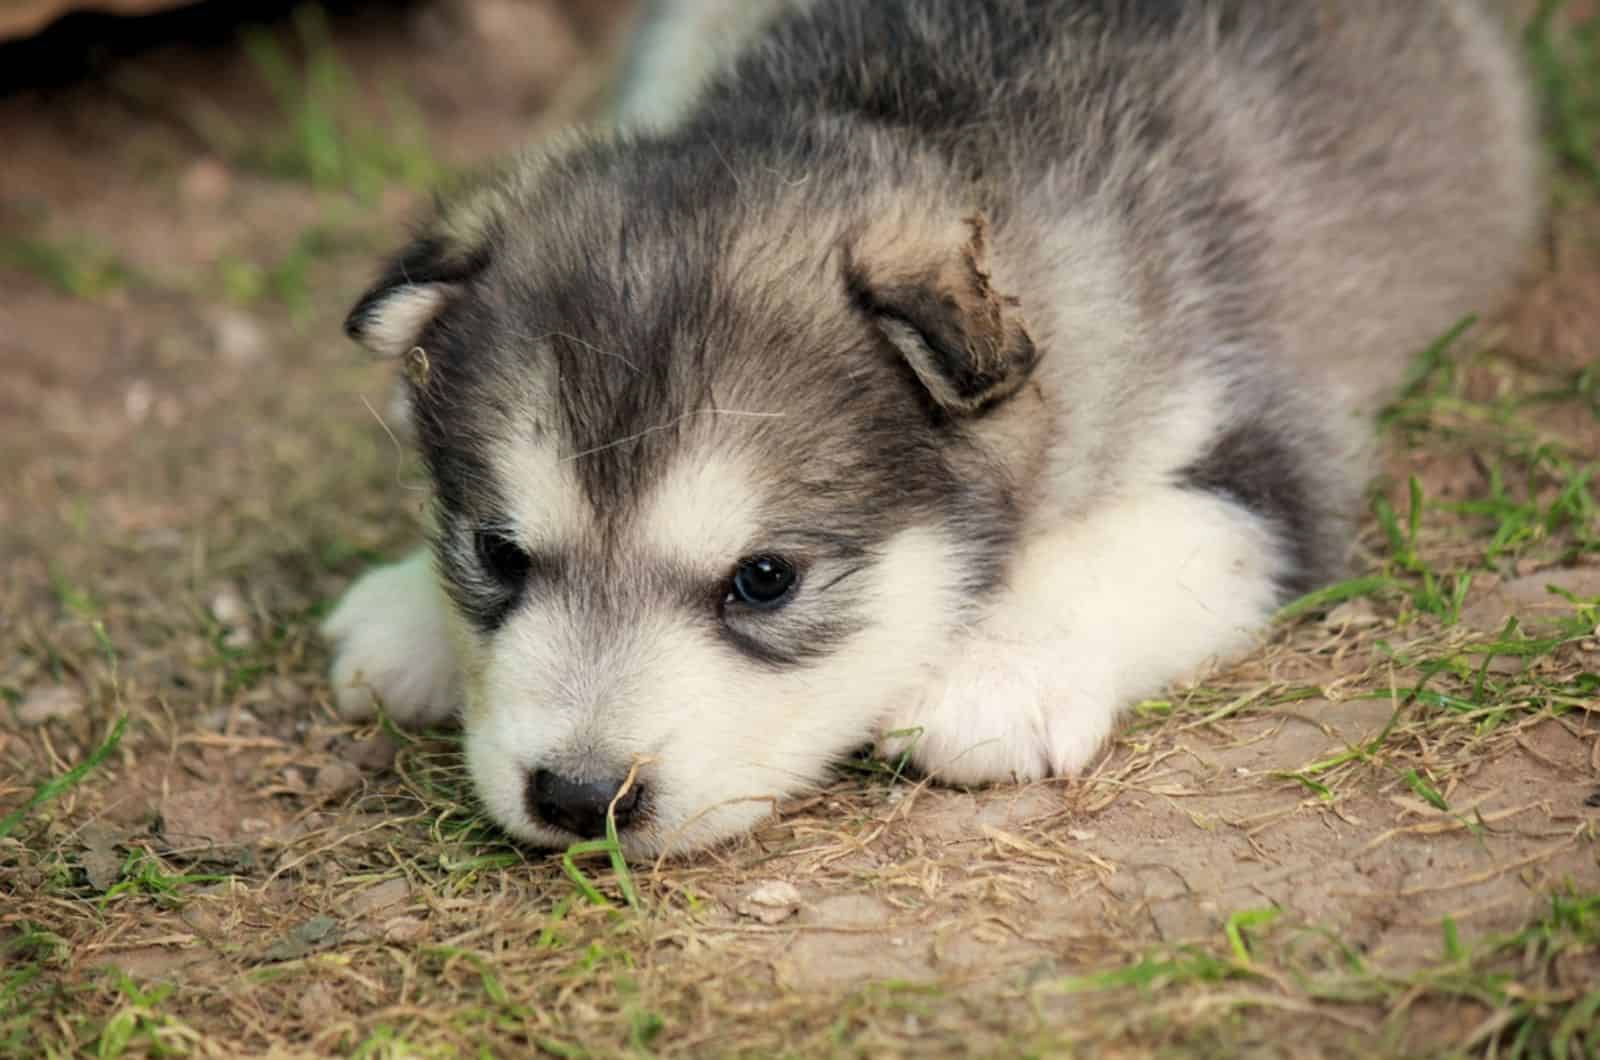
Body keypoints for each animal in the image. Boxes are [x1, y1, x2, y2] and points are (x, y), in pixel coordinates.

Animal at [321, 0, 1536, 858]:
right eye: (497, 552)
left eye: (764, 580)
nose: (579, 795)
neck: (906, 104)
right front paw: (412, 610)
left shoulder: (1276, 432)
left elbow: (1163, 529)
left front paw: (997, 665)